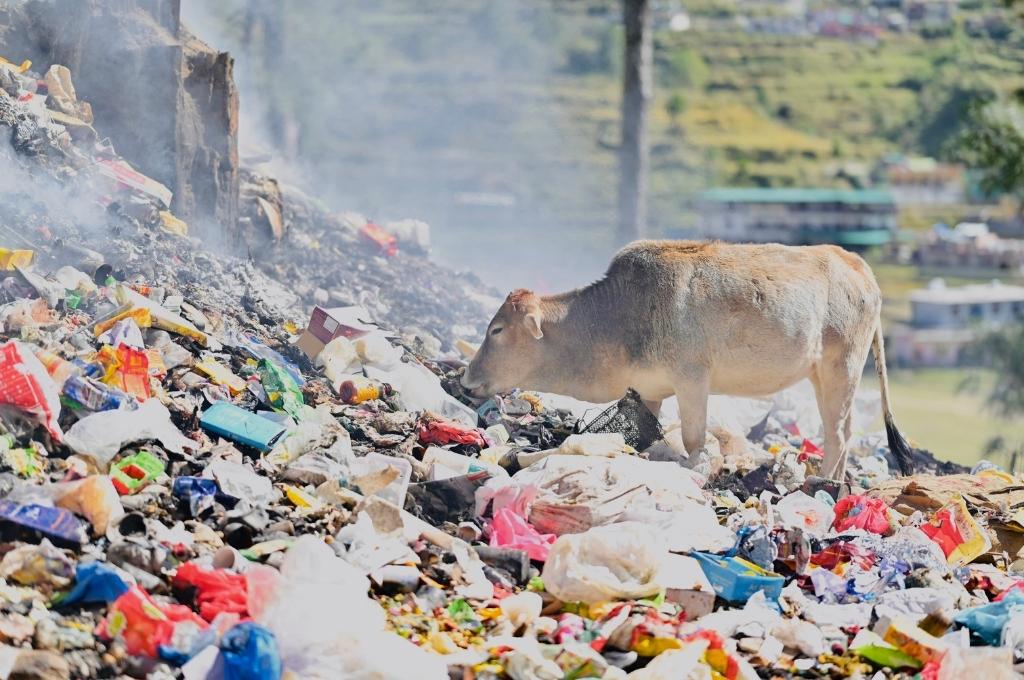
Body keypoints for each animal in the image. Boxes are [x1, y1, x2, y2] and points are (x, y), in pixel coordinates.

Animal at [462, 241, 913, 481]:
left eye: (497, 330)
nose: (467, 379)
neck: (619, 317)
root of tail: (856, 264)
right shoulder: (648, 389)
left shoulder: (692, 379)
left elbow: (695, 439)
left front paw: (696, 470)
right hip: (825, 376)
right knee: (846, 431)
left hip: (842, 368)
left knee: (836, 435)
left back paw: (822, 481)